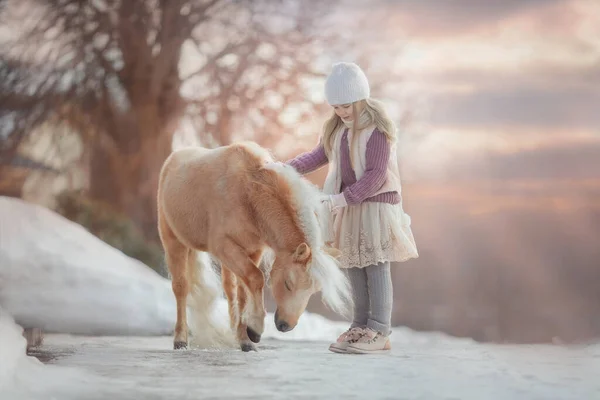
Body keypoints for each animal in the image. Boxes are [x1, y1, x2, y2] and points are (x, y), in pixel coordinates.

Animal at [157, 141, 352, 350]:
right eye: (288, 284)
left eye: (314, 290)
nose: (285, 326)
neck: (248, 194)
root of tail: (174, 158)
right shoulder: (224, 247)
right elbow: (256, 279)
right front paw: (255, 330)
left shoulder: (252, 251)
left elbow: (244, 292)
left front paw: (245, 338)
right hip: (174, 242)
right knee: (181, 288)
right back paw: (180, 339)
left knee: (229, 290)